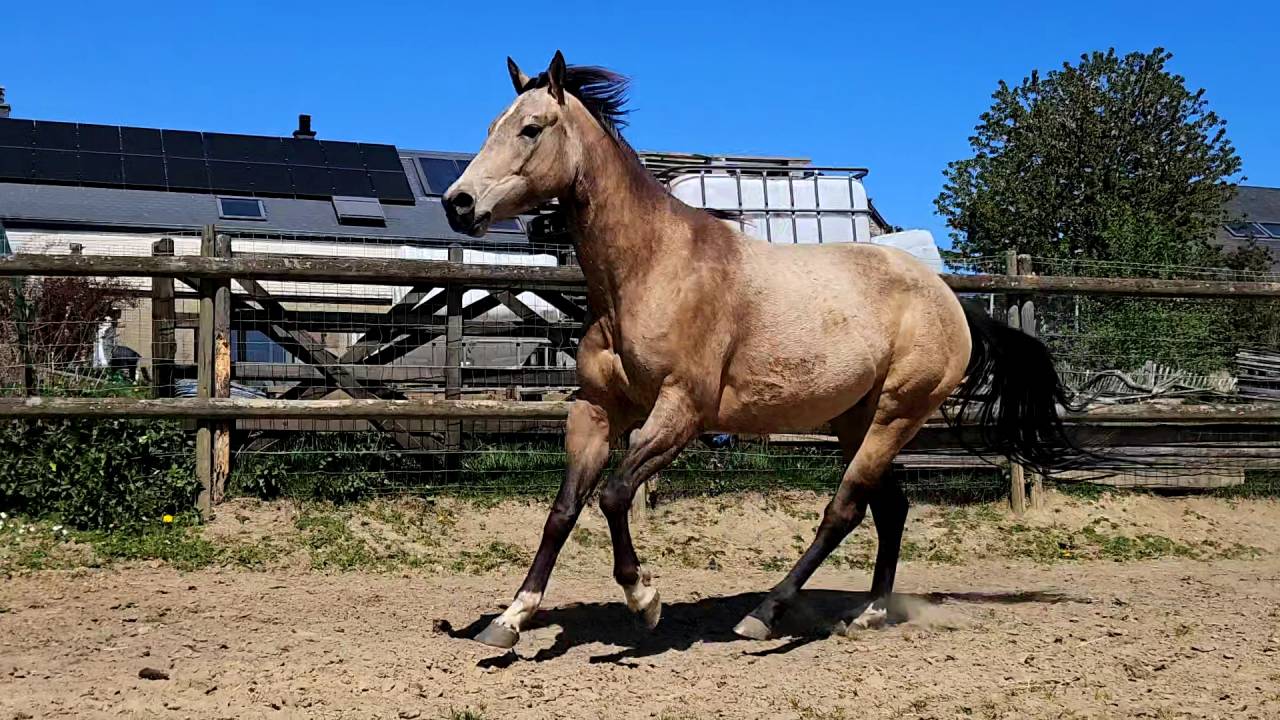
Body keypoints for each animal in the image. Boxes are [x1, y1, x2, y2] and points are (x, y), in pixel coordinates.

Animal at [443, 51, 1078, 649]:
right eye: (492, 125)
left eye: (531, 128)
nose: (458, 202)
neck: (649, 270)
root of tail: (950, 301)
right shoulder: (596, 410)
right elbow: (563, 511)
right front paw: (510, 619)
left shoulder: (682, 411)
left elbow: (617, 496)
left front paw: (644, 600)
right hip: (856, 419)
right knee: (890, 508)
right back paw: (867, 612)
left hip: (896, 414)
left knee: (844, 510)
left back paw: (765, 614)